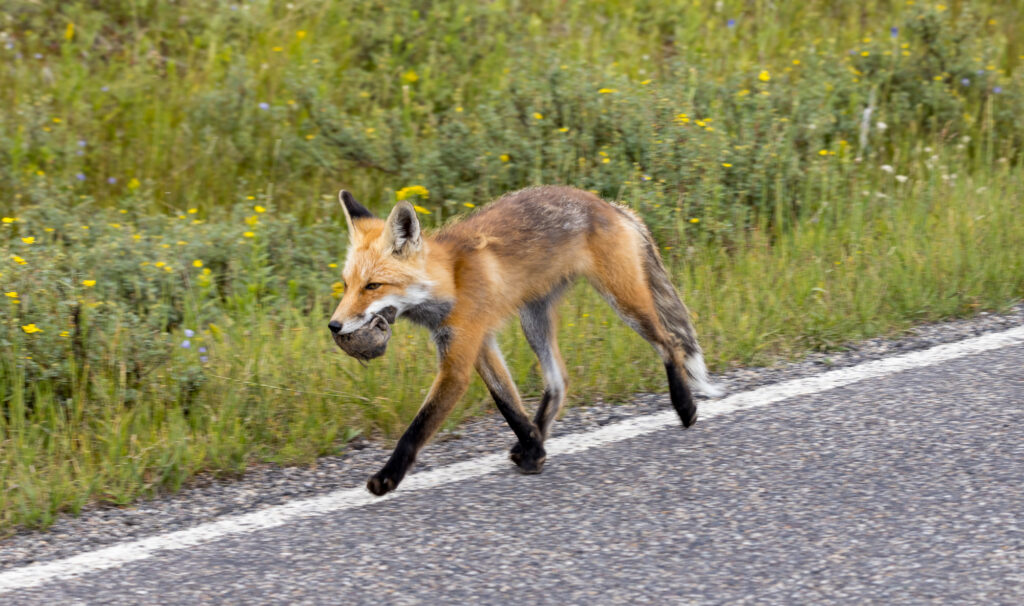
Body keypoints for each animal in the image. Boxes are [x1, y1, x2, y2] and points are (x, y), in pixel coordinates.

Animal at [329, 185, 722, 496]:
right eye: (347, 285)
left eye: (373, 286)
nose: (334, 325)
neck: (451, 281)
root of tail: (608, 203)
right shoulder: (478, 344)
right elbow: (508, 403)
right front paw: (533, 448)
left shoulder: (459, 359)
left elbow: (416, 429)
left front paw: (387, 477)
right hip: (533, 319)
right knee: (560, 381)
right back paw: (539, 434)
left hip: (623, 301)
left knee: (670, 342)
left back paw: (684, 406)